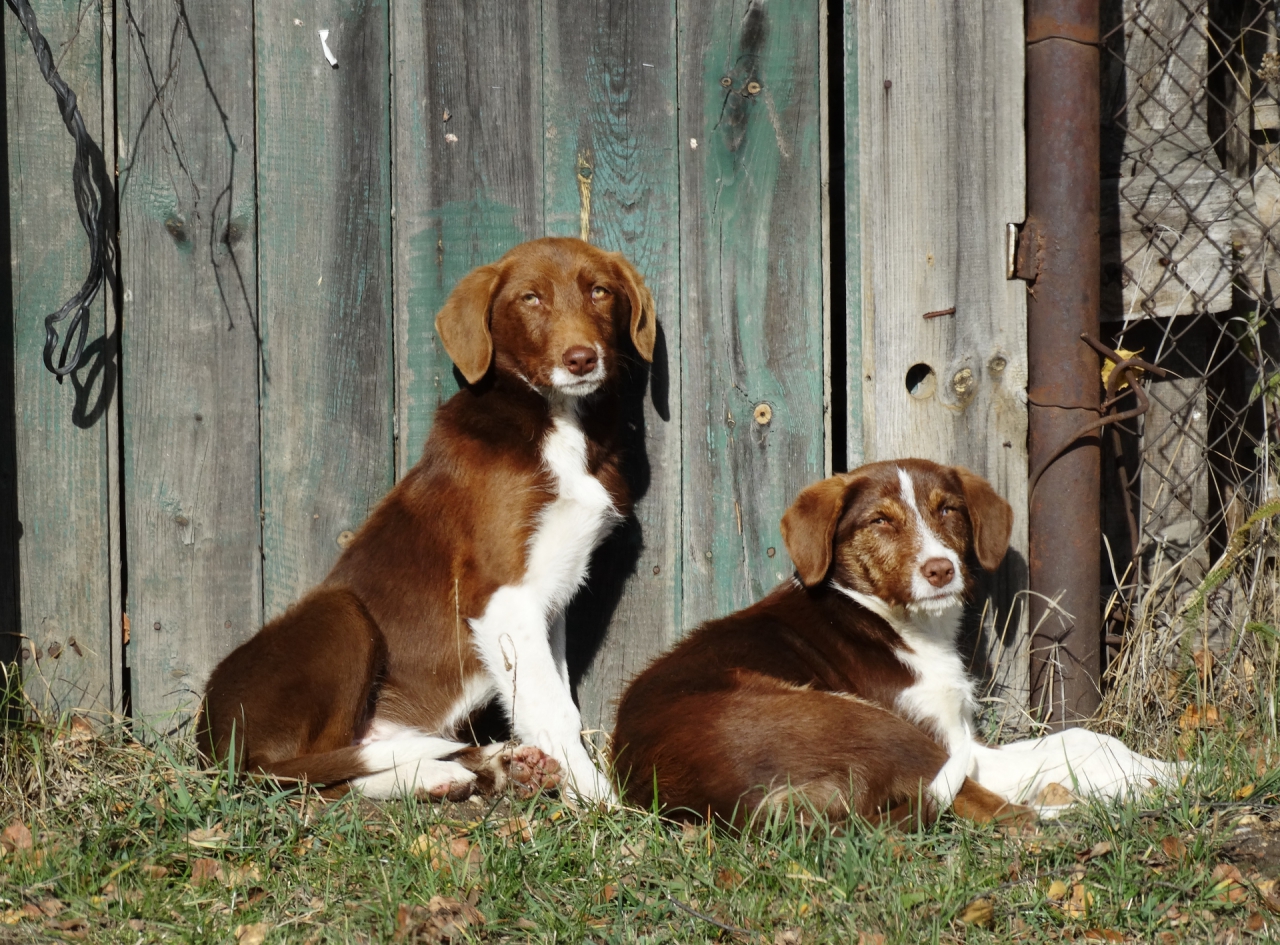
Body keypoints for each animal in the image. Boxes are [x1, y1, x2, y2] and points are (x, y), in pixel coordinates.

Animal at [199, 236, 660, 804]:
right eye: (530, 299)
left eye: (600, 291)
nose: (581, 359)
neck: (557, 421)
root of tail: (213, 746)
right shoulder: (500, 592)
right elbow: (551, 708)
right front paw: (601, 805)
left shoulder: (547, 602)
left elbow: (551, 699)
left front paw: (573, 787)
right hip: (342, 614)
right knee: (313, 775)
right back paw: (450, 772)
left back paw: (487, 768)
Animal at [609, 458, 1177, 824]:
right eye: (881, 520)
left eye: (947, 510)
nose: (940, 569)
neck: (897, 622)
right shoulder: (948, 743)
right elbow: (1067, 752)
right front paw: (1152, 782)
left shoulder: (962, 737)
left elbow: (1083, 738)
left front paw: (1170, 768)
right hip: (865, 723)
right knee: (1000, 815)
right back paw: (1073, 808)